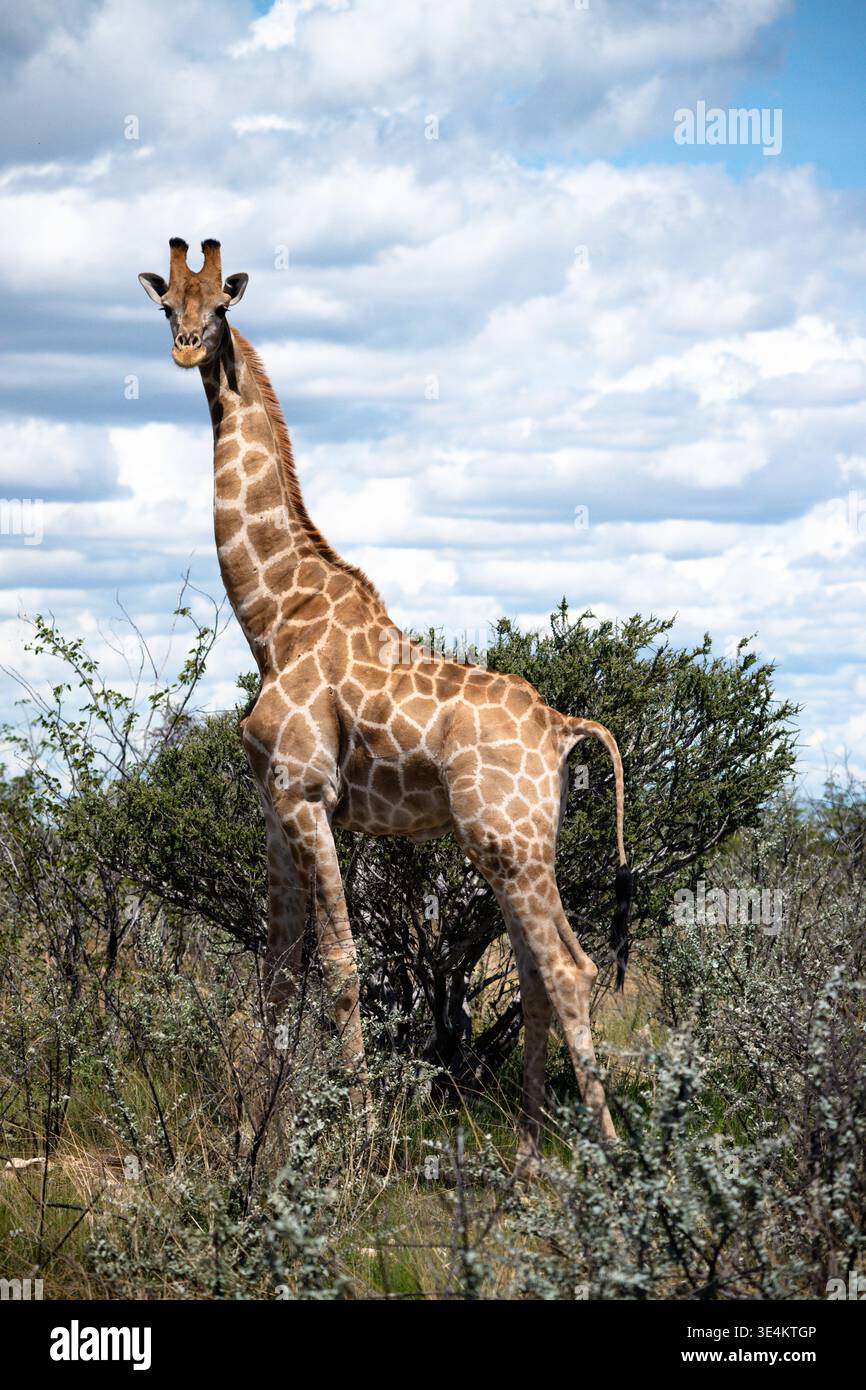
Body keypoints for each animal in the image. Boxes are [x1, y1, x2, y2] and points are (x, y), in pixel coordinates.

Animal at [139, 237, 634, 1173]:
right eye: (164, 304)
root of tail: (562, 730)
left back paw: (612, 1163)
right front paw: (258, 1126)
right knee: (537, 973)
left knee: (570, 969)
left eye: (220, 305)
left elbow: (340, 962)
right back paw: (524, 1162)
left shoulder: (307, 794)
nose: (186, 349)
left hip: (506, 839)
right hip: (518, 844)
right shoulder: (274, 805)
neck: (272, 618)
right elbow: (276, 968)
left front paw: (359, 1140)